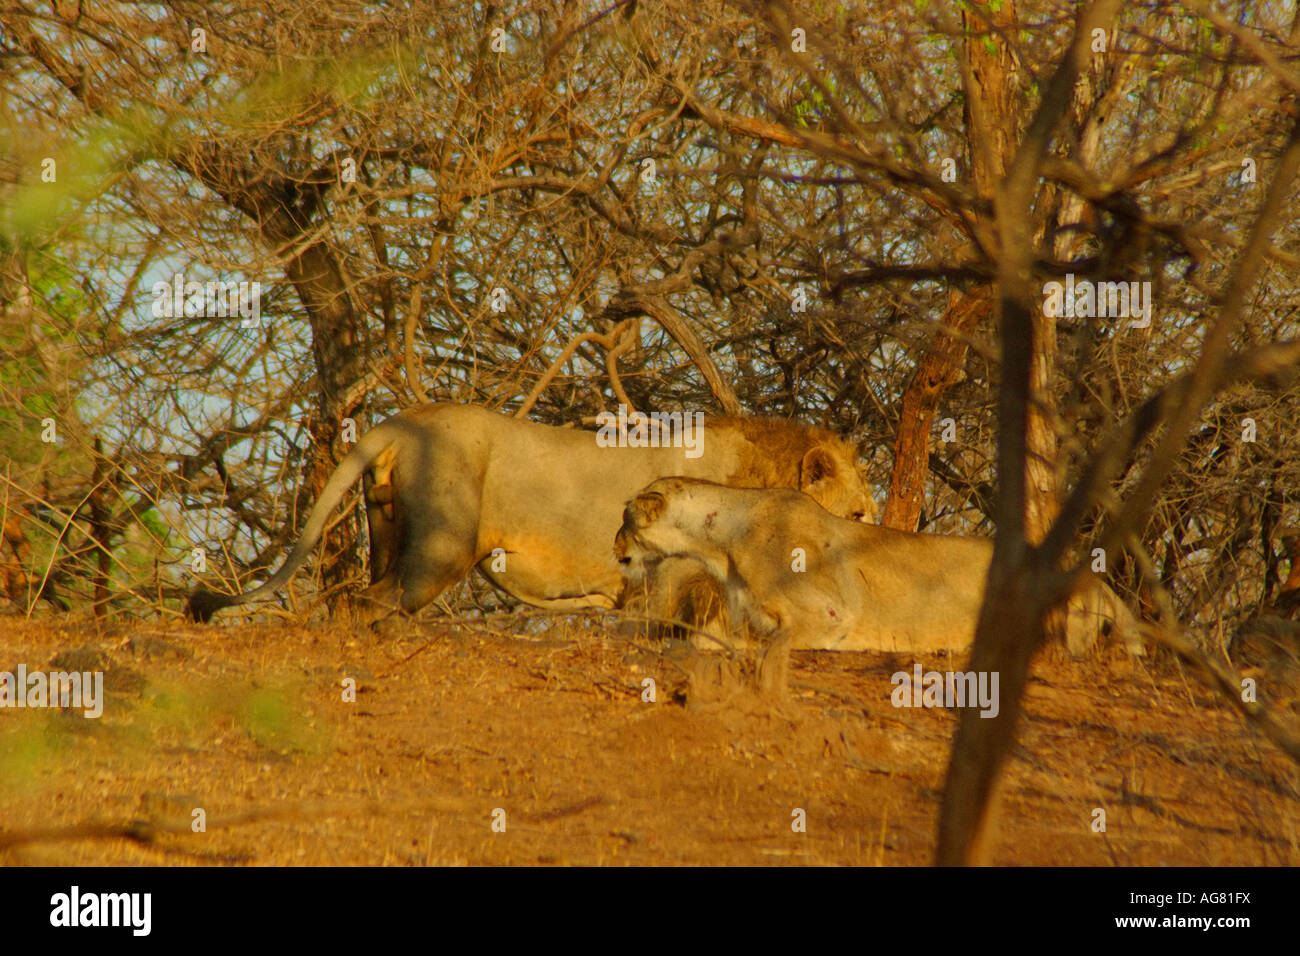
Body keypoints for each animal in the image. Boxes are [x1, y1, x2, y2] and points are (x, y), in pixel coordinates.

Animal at [187, 403, 873, 623]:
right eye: (862, 513)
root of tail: (401, 422)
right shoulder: (670, 585)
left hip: (386, 528)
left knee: (361, 595)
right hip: (443, 547)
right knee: (366, 602)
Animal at [614, 477, 1143, 656]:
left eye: (626, 518)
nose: (613, 545)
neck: (719, 544)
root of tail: (1096, 579)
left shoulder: (830, 614)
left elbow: (736, 641)